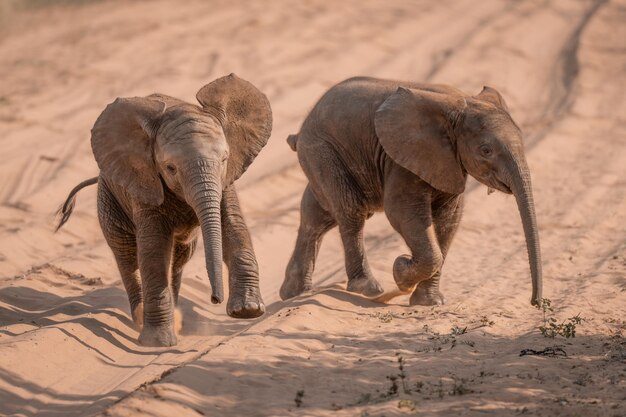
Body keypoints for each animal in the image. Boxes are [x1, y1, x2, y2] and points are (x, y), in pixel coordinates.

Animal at [58, 74, 270, 344]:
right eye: (170, 168)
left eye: (224, 159)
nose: (215, 299)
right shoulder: (144, 182)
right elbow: (153, 251)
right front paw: (157, 342)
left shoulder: (225, 181)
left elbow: (234, 226)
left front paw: (248, 311)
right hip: (109, 200)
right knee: (126, 255)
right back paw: (140, 317)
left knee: (180, 257)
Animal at [280, 77, 540, 306]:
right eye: (486, 150)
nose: (535, 302)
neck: (462, 102)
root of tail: (302, 130)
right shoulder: (403, 159)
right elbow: (402, 212)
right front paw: (400, 271)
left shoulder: (448, 161)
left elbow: (448, 221)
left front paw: (429, 302)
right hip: (321, 150)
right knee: (350, 210)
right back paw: (367, 289)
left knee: (317, 215)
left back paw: (295, 294)